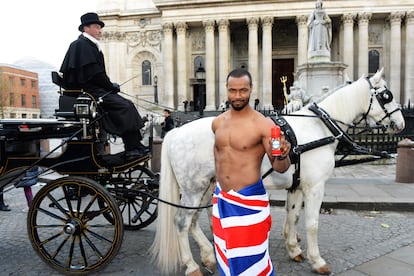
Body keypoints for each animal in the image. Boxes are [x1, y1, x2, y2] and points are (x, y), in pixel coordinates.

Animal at [149, 70, 404, 274]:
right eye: (387, 95)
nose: (401, 123)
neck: (319, 126)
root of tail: (175, 132)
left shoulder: (297, 185)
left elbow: (294, 216)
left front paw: (294, 248)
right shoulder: (315, 187)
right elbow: (312, 223)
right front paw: (317, 260)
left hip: (205, 186)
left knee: (192, 221)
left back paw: (208, 256)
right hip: (194, 187)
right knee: (182, 222)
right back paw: (192, 265)